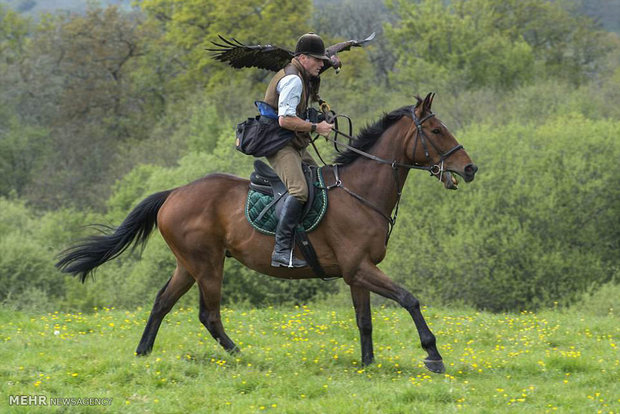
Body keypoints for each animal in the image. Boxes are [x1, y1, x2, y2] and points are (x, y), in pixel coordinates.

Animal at [57, 92, 474, 374]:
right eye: (436, 129)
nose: (470, 169)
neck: (361, 192)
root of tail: (173, 193)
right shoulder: (360, 268)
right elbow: (409, 299)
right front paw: (433, 354)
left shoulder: (357, 272)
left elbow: (365, 320)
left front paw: (368, 364)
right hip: (207, 265)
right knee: (209, 314)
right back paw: (240, 354)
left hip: (187, 265)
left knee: (162, 302)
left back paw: (143, 353)